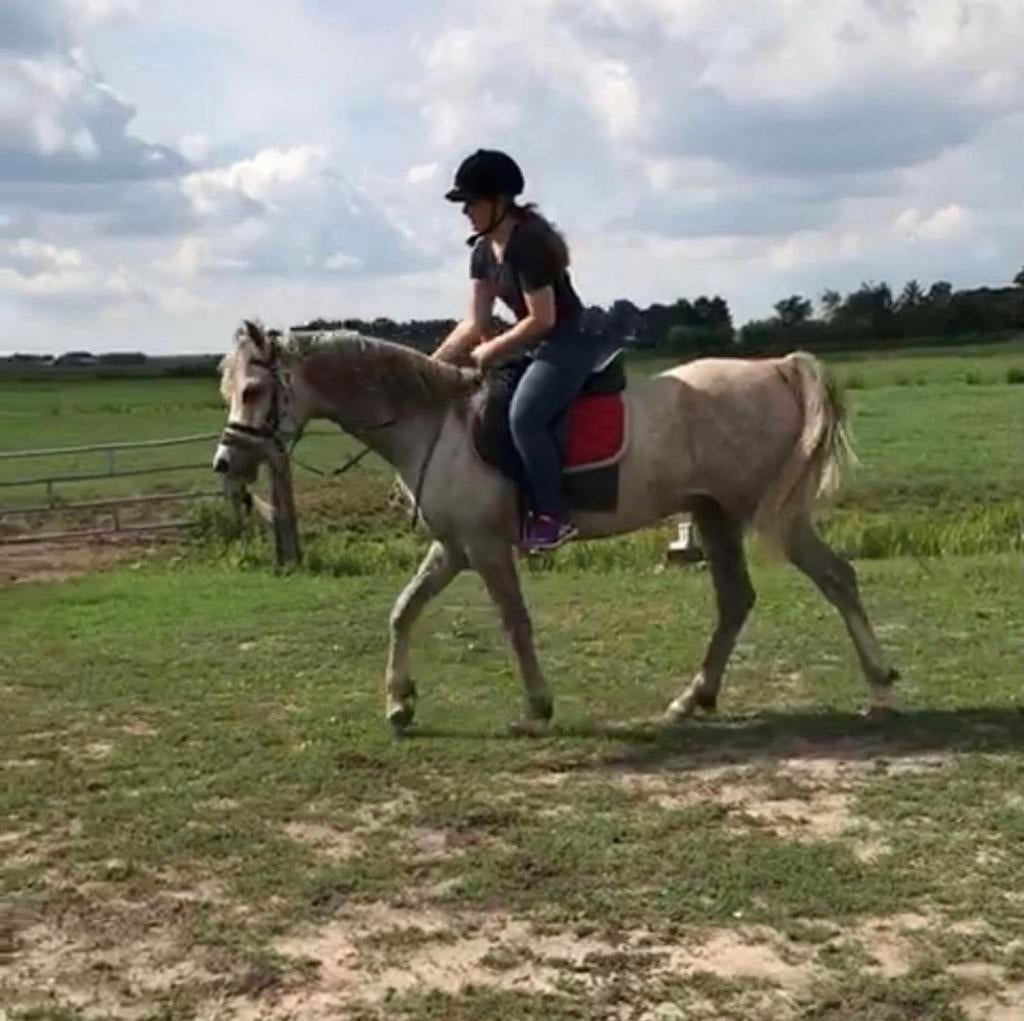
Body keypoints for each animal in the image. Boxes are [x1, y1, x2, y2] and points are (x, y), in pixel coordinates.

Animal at [213, 320, 899, 732]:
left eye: (252, 390)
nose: (226, 462)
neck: (433, 423)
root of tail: (777, 366)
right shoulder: (453, 547)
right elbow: (403, 610)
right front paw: (399, 703)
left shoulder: (485, 547)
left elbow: (514, 623)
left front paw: (537, 707)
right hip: (714, 515)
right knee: (736, 601)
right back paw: (692, 698)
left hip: (763, 513)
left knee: (837, 578)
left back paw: (881, 688)